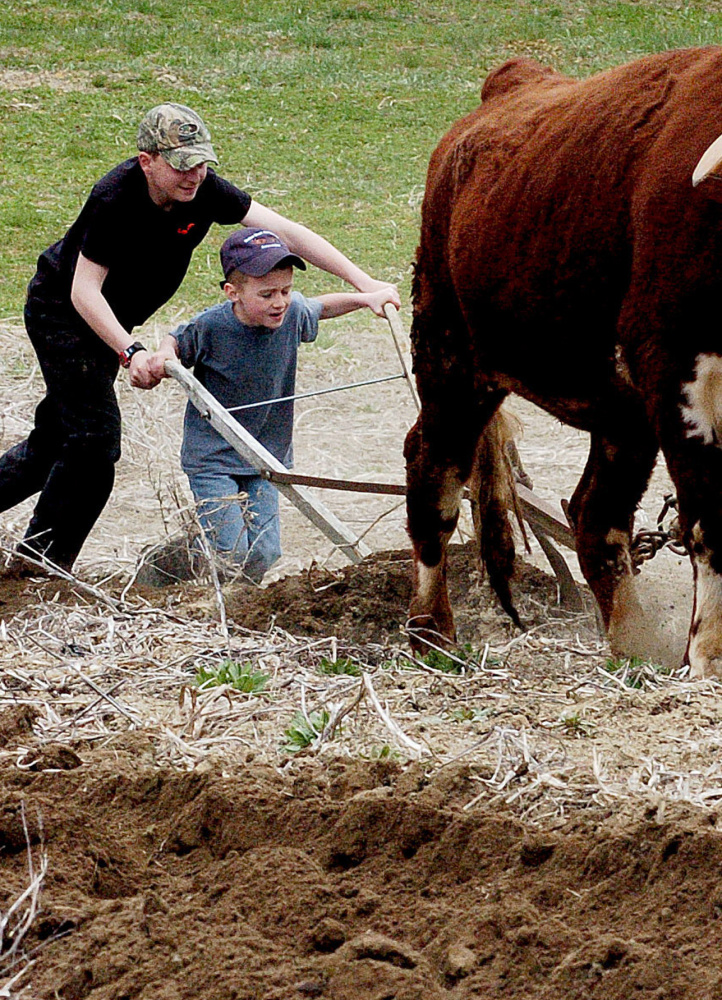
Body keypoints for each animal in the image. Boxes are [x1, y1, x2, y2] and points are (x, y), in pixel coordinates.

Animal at [404, 43, 722, 676]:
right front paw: (706, 661)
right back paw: (432, 631)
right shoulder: (677, 378)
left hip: (620, 411)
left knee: (595, 517)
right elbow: (711, 521)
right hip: (449, 352)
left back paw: (633, 644)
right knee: (434, 472)